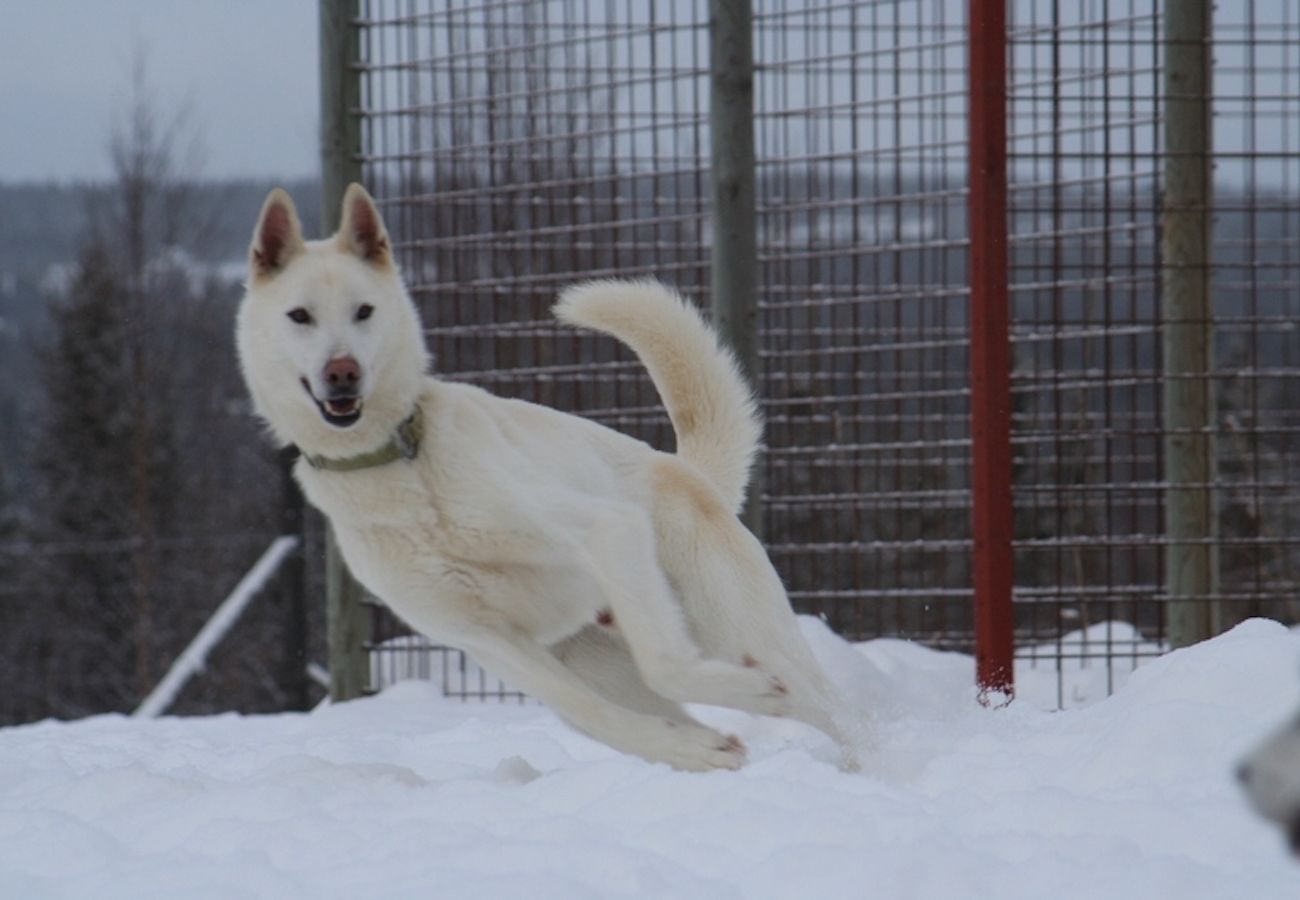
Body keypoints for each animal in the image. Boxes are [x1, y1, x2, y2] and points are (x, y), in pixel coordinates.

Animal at [233, 184, 863, 775]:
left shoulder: (604, 528)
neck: (402, 471)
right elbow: (588, 712)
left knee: (839, 710)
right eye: (300, 316)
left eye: (363, 311)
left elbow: (668, 665)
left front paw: (743, 699)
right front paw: (694, 751)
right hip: (599, 658)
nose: (342, 374)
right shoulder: (488, 641)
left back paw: (866, 762)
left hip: (736, 630)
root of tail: (685, 469)